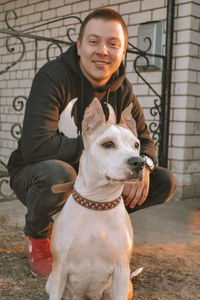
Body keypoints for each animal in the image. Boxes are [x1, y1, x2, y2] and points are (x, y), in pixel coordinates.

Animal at [46, 99, 145, 300]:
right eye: (108, 144)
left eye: (136, 145)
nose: (139, 162)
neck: (98, 203)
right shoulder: (60, 269)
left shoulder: (121, 271)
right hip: (50, 281)